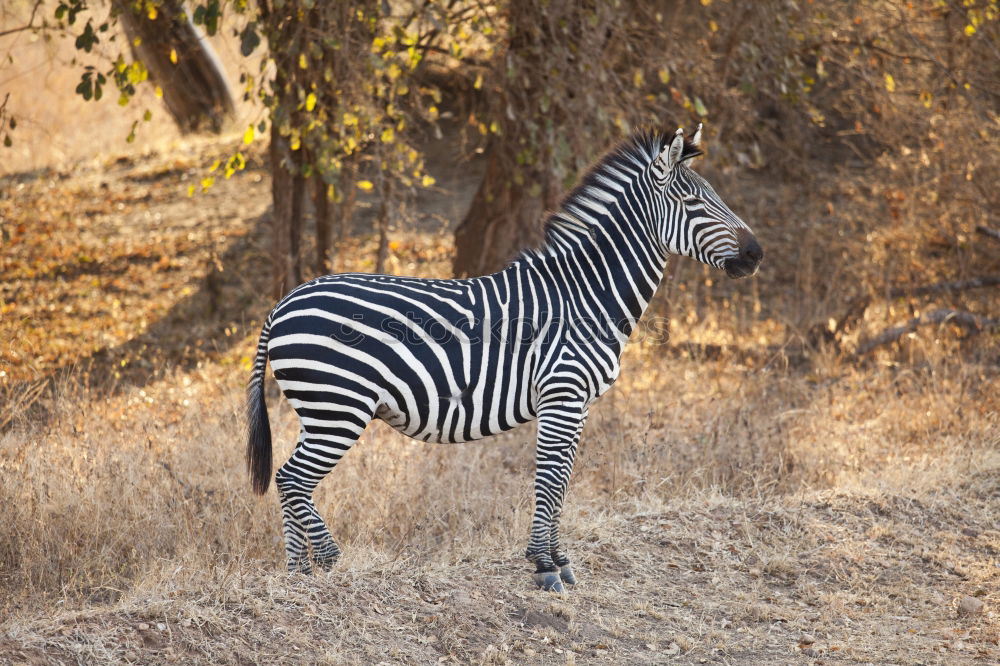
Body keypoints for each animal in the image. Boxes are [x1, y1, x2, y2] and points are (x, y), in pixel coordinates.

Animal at [246, 124, 760, 592]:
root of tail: (283, 302)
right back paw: (329, 561)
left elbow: (563, 480)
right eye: (694, 203)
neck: (585, 295)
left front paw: (559, 561)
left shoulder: (578, 405)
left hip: (319, 409)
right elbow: (550, 479)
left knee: (289, 481)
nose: (756, 254)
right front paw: (544, 566)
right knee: (292, 479)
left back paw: (298, 574)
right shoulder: (562, 394)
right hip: (338, 407)